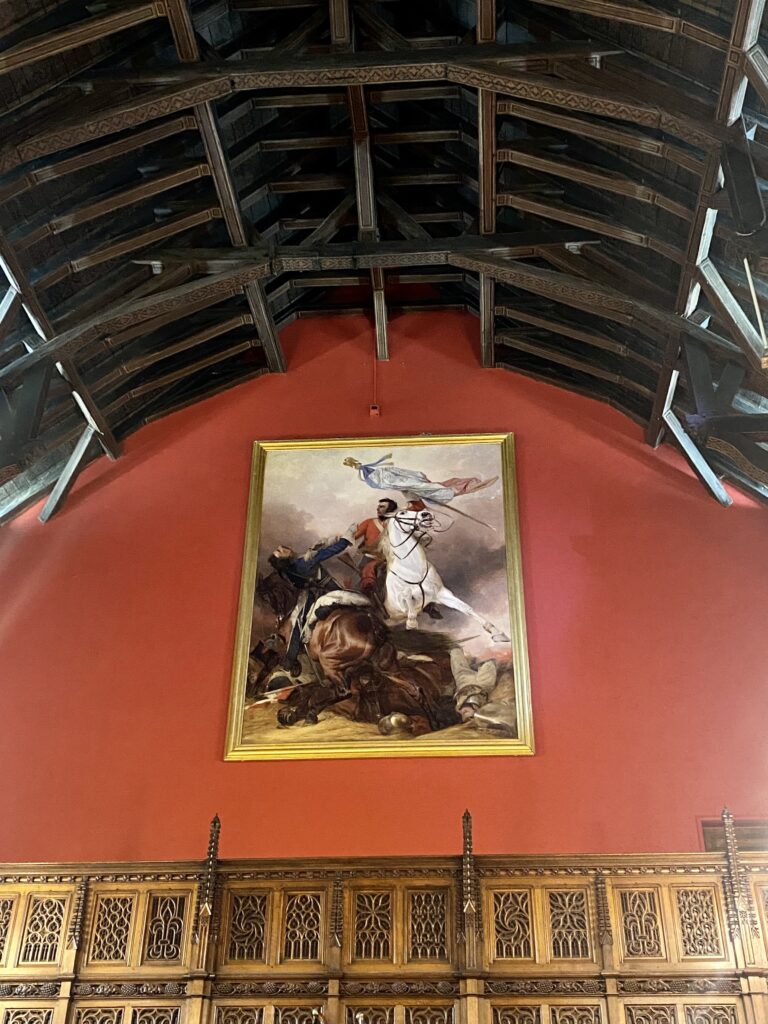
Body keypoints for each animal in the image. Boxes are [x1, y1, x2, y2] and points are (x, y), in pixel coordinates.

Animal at [380, 503, 512, 638]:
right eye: (402, 513)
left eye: (411, 508)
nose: (426, 514)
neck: (414, 570)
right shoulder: (401, 606)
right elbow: (408, 602)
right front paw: (411, 623)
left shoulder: (440, 594)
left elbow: (465, 607)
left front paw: (496, 632)